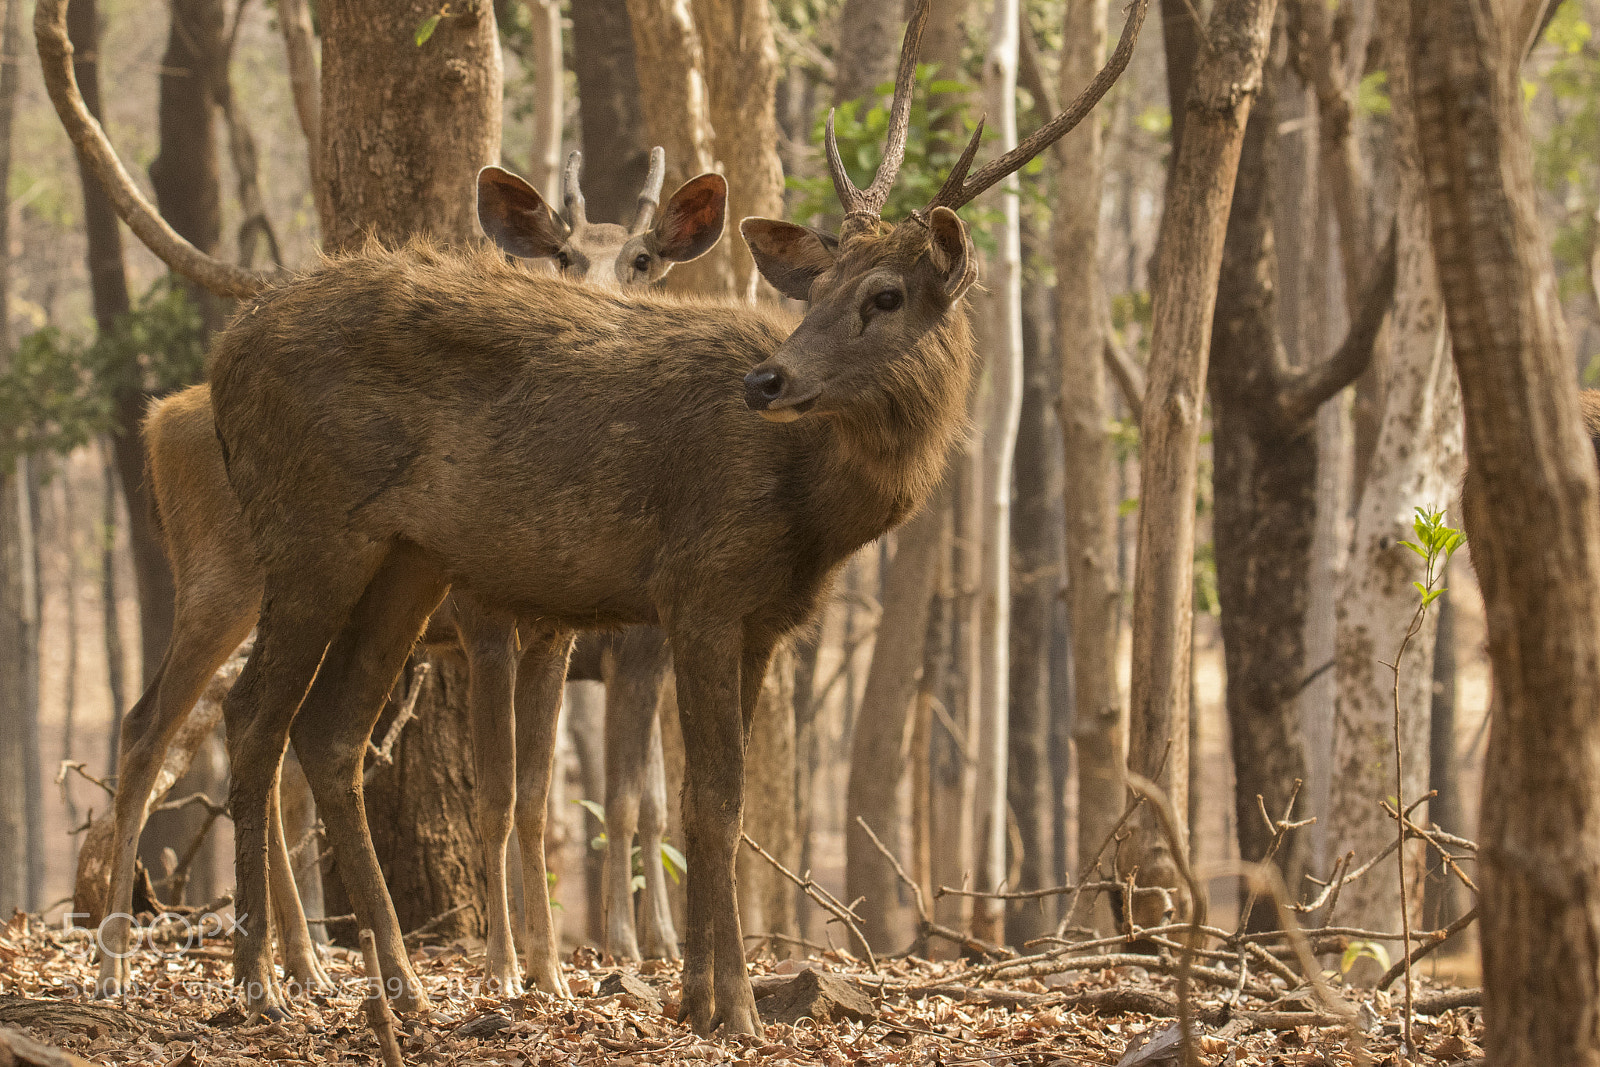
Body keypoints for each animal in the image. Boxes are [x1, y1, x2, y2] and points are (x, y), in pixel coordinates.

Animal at [93, 150, 720, 1003]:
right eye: (562, 256)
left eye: (643, 259)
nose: (591, 313)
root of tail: (160, 423)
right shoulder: (507, 620)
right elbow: (518, 796)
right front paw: (518, 963)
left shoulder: (567, 634)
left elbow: (553, 796)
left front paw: (557, 967)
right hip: (227, 579)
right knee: (153, 725)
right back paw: (124, 964)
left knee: (253, 735)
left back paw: (305, 961)